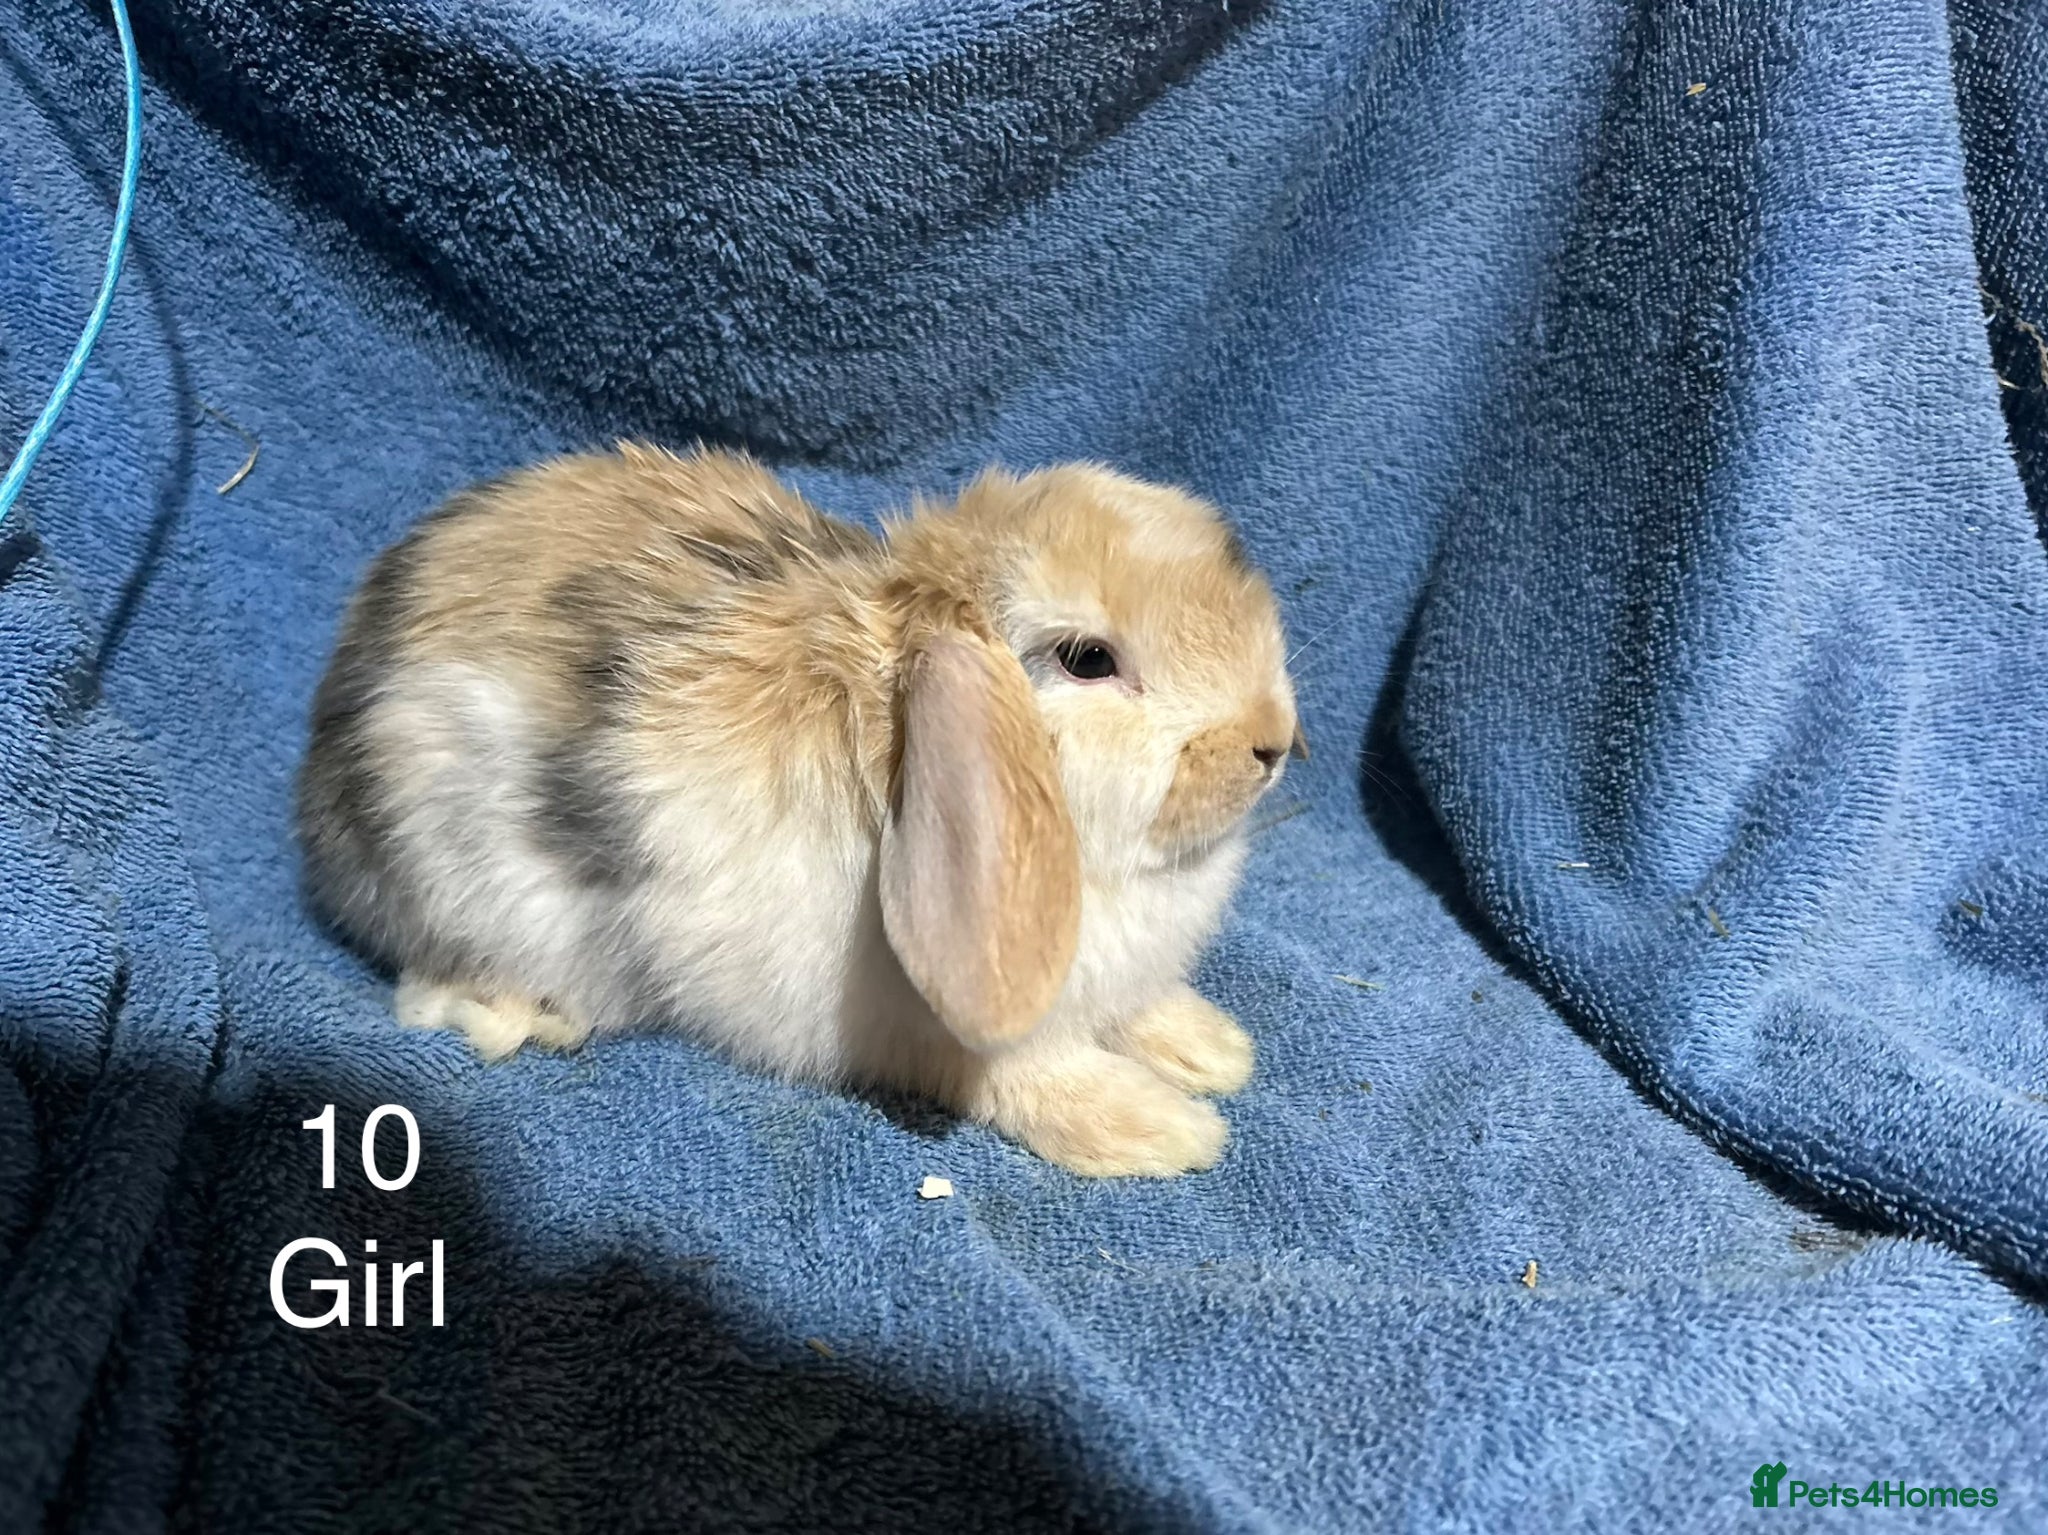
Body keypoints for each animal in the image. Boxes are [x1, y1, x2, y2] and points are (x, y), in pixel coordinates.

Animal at [298, 444, 1305, 1176]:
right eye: (1089, 659)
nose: (1272, 739)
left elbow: (1142, 1013)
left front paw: (1214, 1050)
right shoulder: (965, 1041)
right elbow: (1030, 1075)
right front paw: (1164, 1131)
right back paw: (525, 1014)